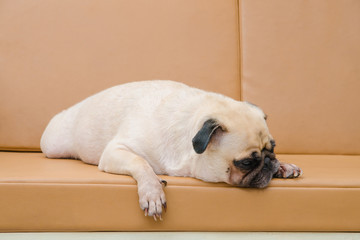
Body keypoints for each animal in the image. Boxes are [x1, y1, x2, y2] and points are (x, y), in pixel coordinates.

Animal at [41, 81, 300, 221]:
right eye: (246, 163)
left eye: (273, 148)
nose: (269, 162)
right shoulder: (117, 150)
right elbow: (141, 163)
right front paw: (153, 192)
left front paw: (282, 166)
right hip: (53, 145)